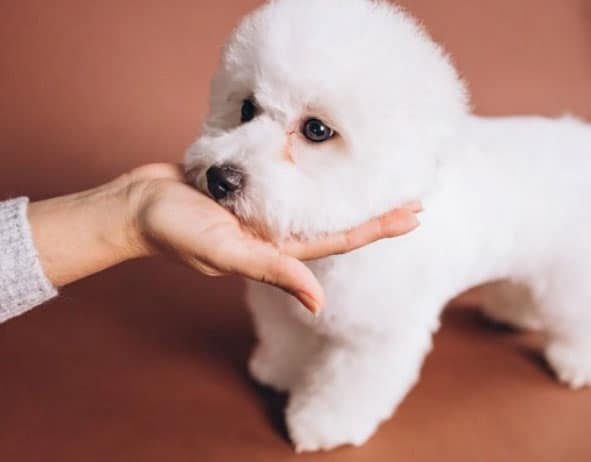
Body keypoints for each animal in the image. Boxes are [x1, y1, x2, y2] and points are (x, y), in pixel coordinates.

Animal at [185, 0, 591, 452]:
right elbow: (286, 339)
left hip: (572, 274)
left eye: (316, 130)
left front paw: (321, 422)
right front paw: (279, 371)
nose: (220, 178)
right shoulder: (281, 304)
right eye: (246, 109)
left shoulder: (375, 335)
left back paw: (574, 360)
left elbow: (346, 384)